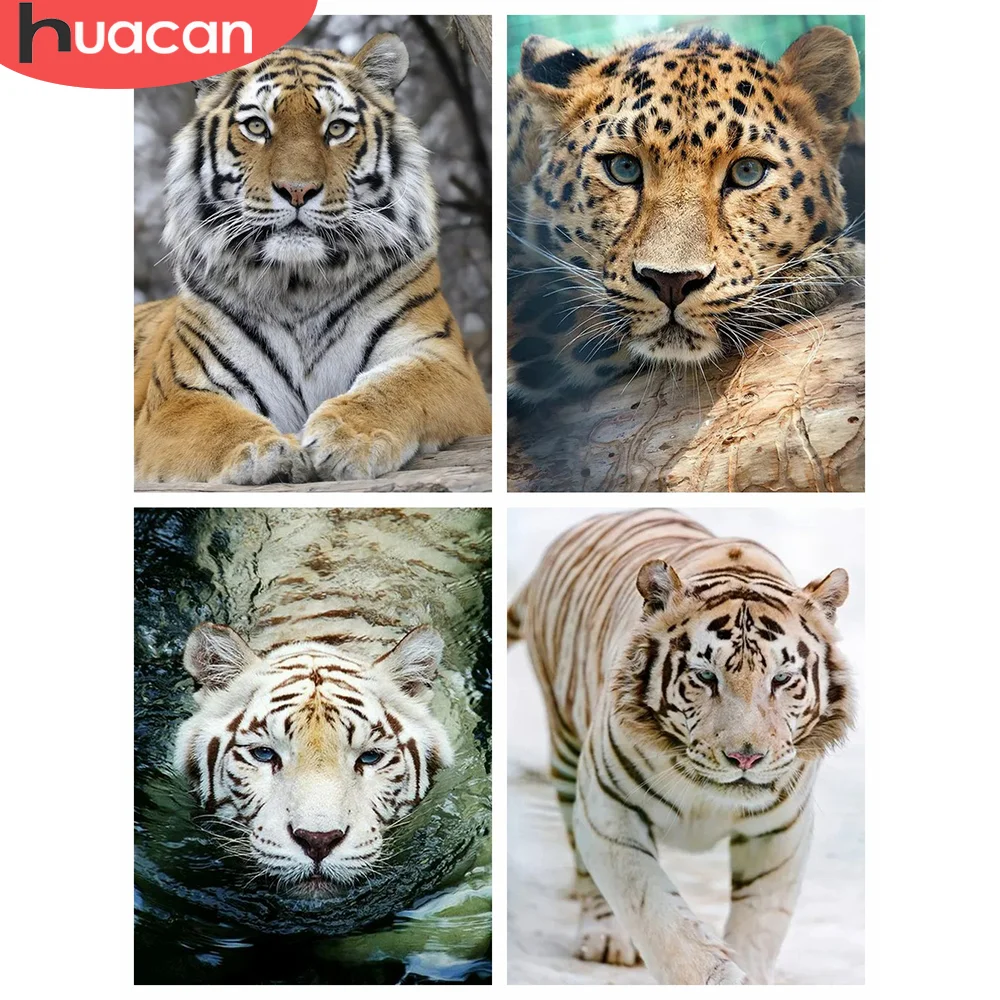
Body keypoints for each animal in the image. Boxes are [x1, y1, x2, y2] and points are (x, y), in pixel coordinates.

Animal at [135, 34, 491, 485]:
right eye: (257, 127)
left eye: (337, 129)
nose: (297, 190)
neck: (298, 282)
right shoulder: (176, 396)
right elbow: (215, 421)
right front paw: (264, 451)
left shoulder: (445, 361)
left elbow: (401, 386)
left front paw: (348, 436)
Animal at [507, 509, 855, 984]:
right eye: (705, 676)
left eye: (781, 679)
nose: (745, 757)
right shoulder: (609, 807)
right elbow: (658, 915)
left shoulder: (782, 832)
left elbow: (759, 928)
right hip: (565, 747)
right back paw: (604, 939)